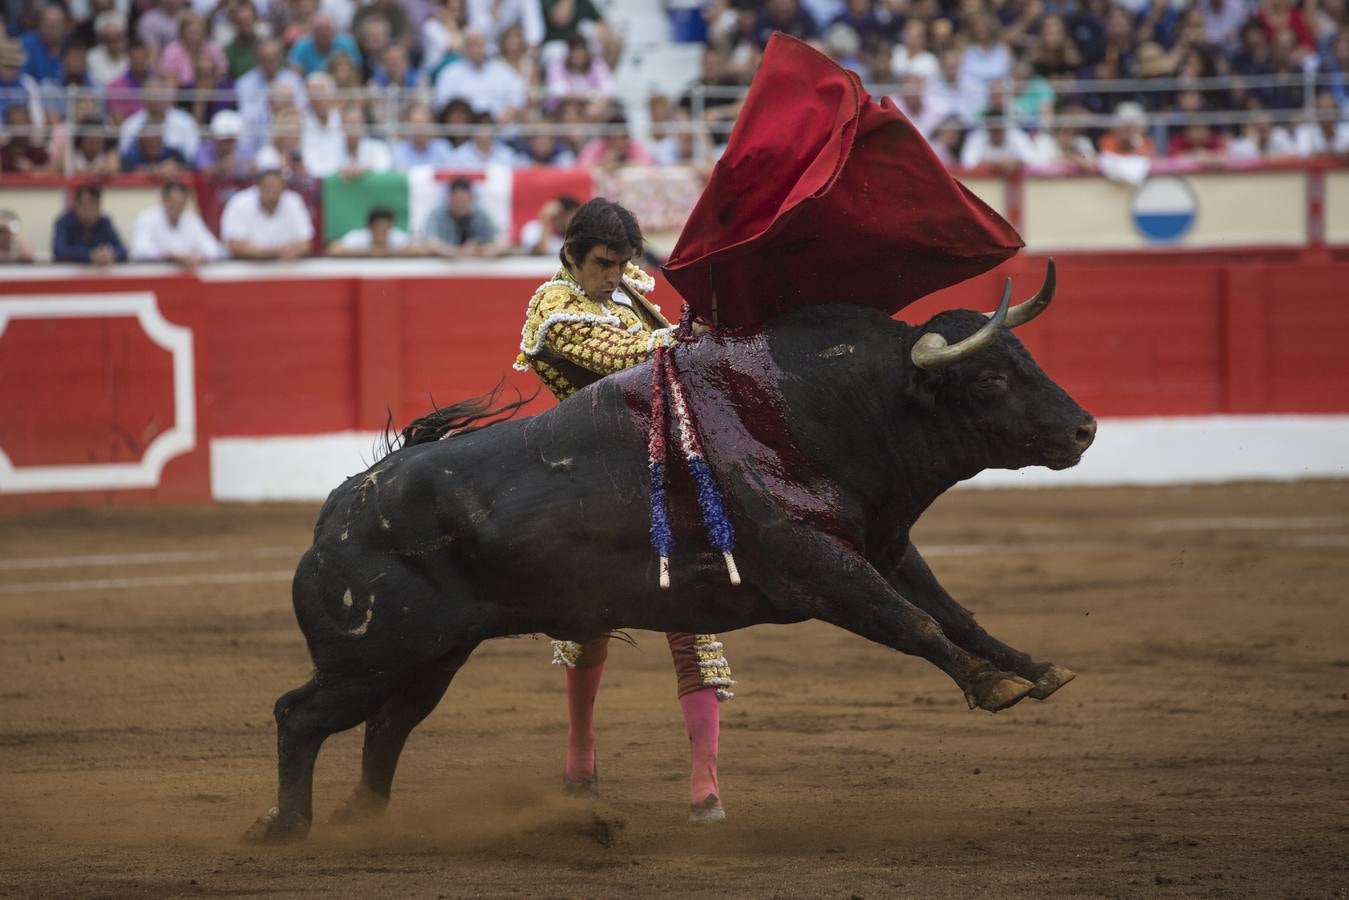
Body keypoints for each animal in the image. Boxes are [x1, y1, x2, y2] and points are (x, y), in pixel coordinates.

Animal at [245, 261, 1095, 847]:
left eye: (1025, 358)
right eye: (990, 376)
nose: (1084, 428)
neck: (821, 407)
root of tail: (338, 511)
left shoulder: (883, 549)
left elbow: (954, 615)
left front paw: (1033, 669)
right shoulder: (819, 568)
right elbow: (914, 624)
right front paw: (991, 688)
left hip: (432, 655)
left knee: (388, 726)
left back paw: (367, 821)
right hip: (368, 657)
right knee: (301, 714)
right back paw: (287, 828)